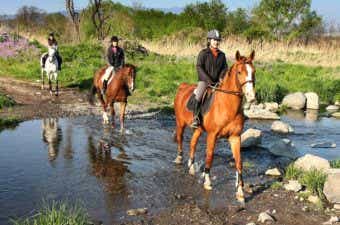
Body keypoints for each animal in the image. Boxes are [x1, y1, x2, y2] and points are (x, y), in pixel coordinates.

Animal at [174, 51, 256, 204]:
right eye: (239, 72)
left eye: (253, 72)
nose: (251, 97)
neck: (227, 106)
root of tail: (182, 86)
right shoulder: (212, 136)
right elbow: (210, 156)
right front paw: (207, 181)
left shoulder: (235, 137)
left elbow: (239, 162)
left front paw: (240, 192)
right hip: (180, 123)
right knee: (180, 139)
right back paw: (179, 158)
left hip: (198, 129)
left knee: (193, 143)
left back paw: (191, 166)